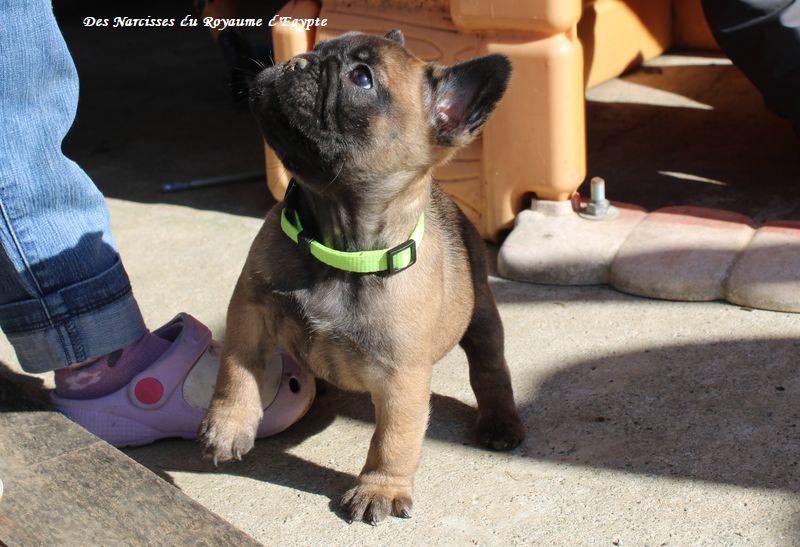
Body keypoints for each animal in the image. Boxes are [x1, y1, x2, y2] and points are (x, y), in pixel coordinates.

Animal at [199, 29, 525, 524]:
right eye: (318, 49)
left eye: (363, 78)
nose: (298, 60)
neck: (340, 244)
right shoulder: (249, 311)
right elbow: (237, 369)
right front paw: (228, 425)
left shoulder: (402, 377)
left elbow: (393, 439)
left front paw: (380, 488)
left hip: (482, 319)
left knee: (490, 369)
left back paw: (500, 421)